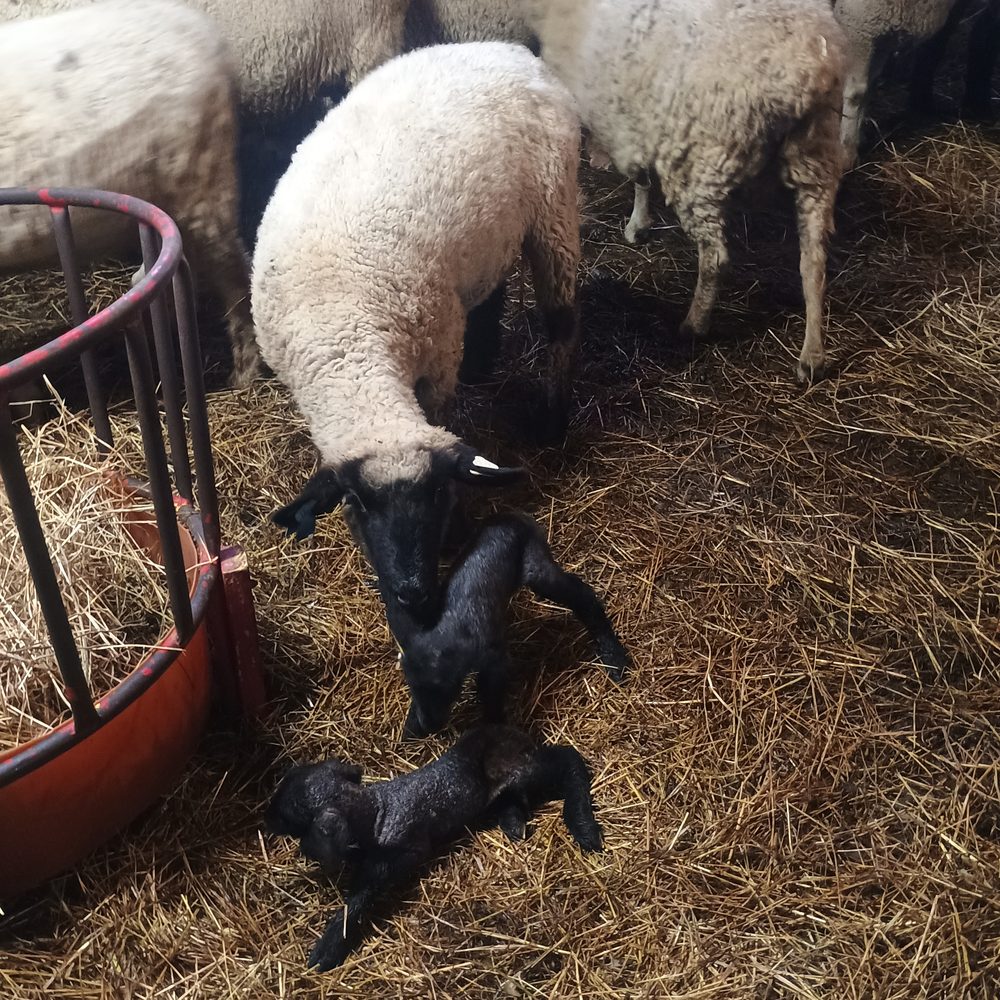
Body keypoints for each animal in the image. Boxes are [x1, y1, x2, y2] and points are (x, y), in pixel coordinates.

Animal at [255, 42, 582, 623]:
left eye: (434, 497)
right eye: (358, 504)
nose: (412, 592)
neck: (348, 344)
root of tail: (505, 49)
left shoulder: (437, 358)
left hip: (554, 207)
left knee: (562, 322)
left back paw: (551, 417)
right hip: (484, 244)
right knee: (489, 291)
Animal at [265, 724, 603, 970]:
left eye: (287, 814)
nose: (265, 818)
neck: (376, 812)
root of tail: (510, 729)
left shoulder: (404, 852)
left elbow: (361, 896)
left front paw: (326, 949)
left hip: (523, 767)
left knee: (567, 760)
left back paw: (583, 826)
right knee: (513, 796)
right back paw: (513, 822)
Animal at [393, 514, 631, 739]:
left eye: (446, 689)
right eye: (412, 689)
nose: (429, 725)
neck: (449, 627)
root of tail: (512, 516)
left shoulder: (492, 657)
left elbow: (491, 692)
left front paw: (493, 725)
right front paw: (411, 728)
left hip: (535, 564)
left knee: (581, 594)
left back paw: (614, 657)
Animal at [526, 0, 847, 383]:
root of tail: (804, 70)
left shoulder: (620, 111)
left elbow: (638, 175)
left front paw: (636, 222)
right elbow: (641, 176)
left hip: (704, 163)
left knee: (715, 258)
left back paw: (694, 324)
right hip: (817, 155)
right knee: (814, 260)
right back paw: (812, 355)